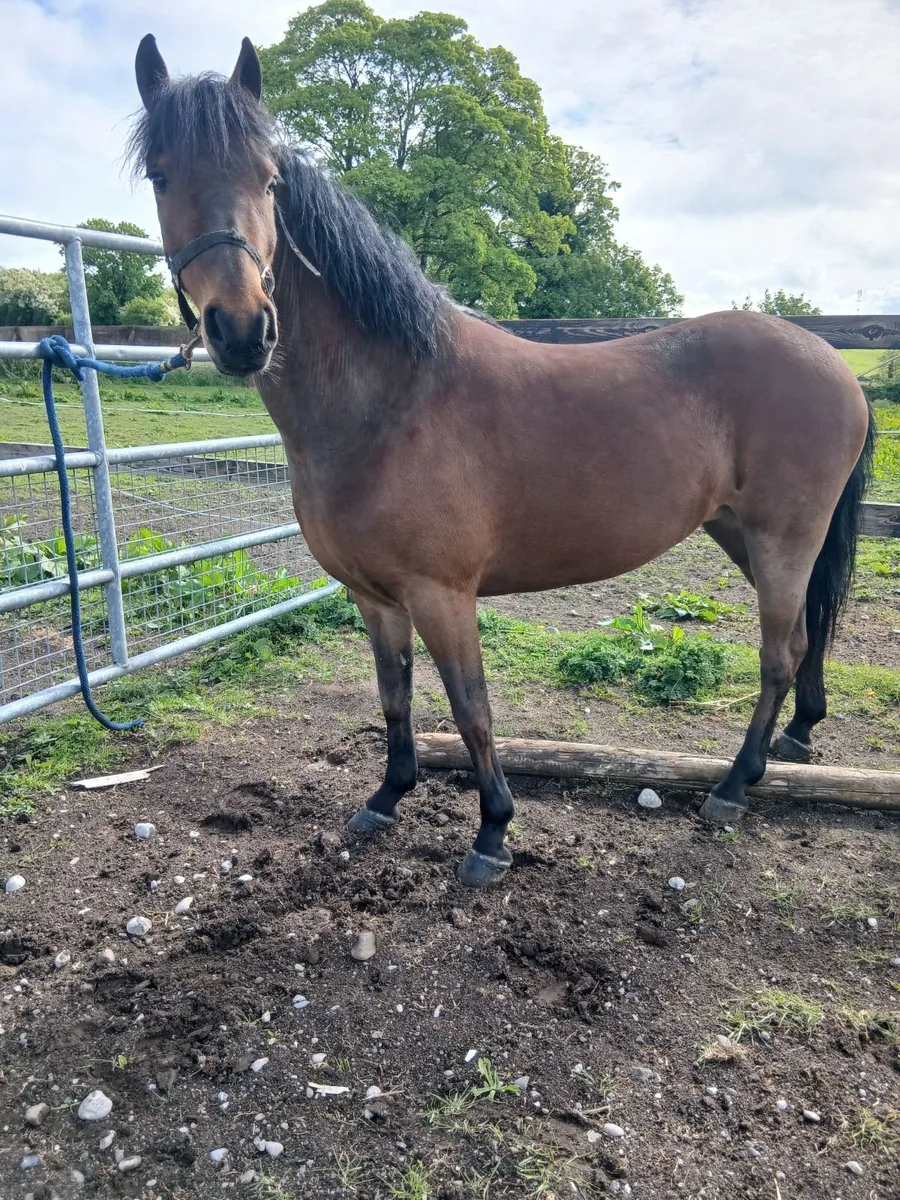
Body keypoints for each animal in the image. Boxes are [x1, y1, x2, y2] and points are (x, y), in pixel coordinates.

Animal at [130, 35, 874, 887]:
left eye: (269, 179)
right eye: (160, 175)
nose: (244, 328)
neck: (392, 399)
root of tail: (836, 364)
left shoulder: (443, 595)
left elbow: (472, 709)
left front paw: (492, 832)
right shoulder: (374, 597)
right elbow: (394, 695)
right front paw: (388, 796)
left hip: (783, 539)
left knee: (780, 653)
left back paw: (732, 787)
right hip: (740, 533)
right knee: (807, 634)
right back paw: (792, 741)